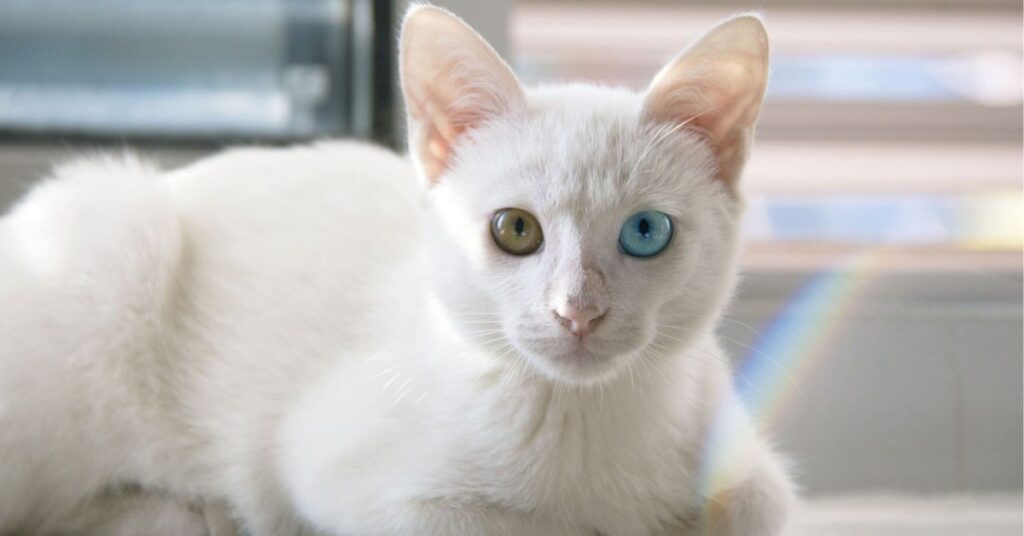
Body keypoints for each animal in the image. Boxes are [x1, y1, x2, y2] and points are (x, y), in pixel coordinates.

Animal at [0, 5, 790, 536]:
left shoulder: (748, 464)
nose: (578, 311)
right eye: (516, 229)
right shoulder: (345, 477)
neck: (583, 417)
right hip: (112, 239)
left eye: (645, 232)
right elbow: (513, 525)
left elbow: (752, 505)